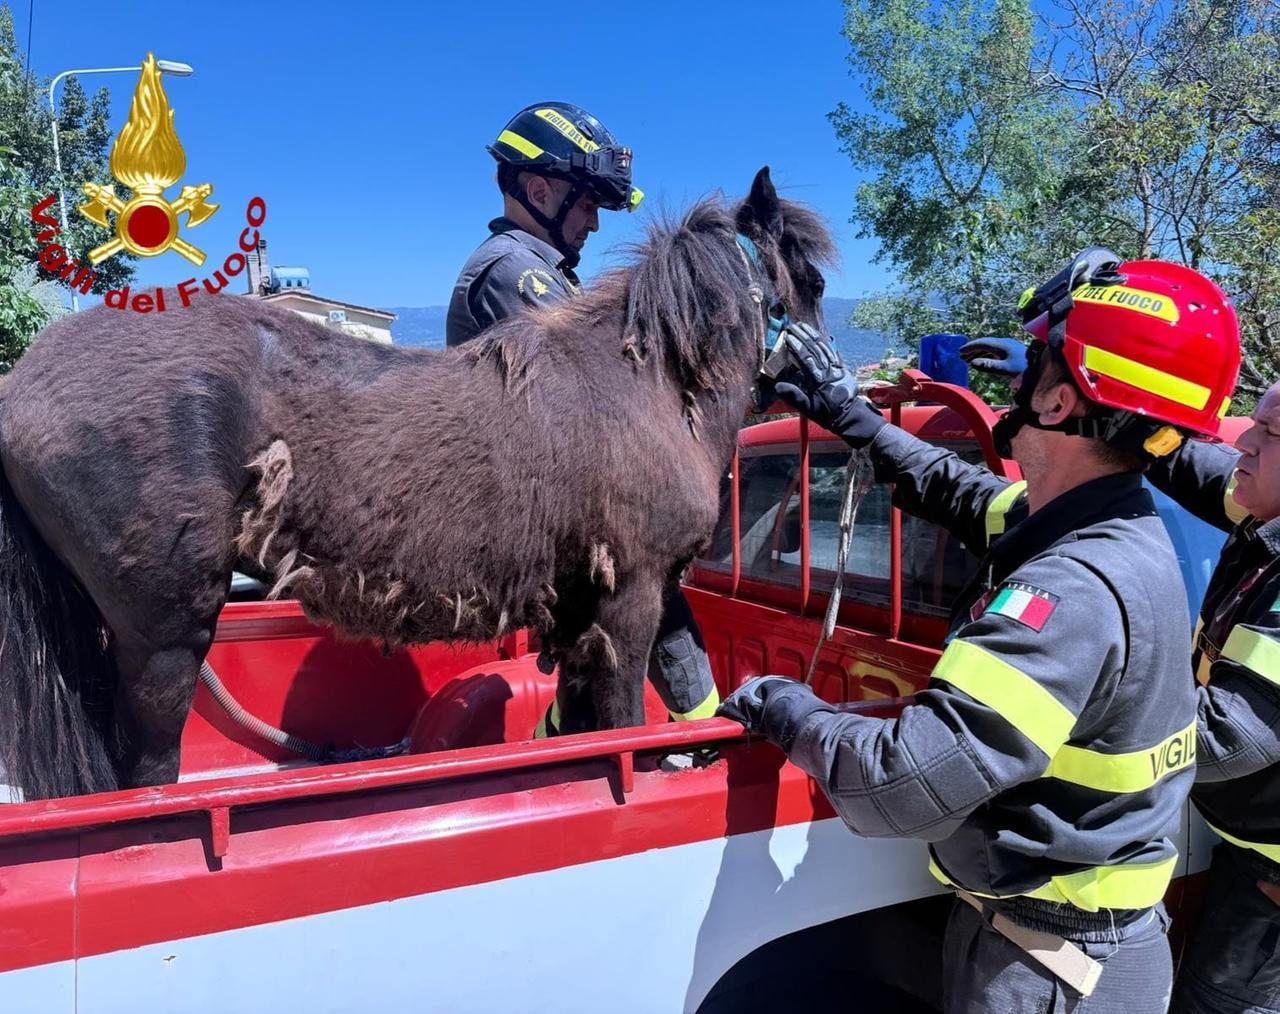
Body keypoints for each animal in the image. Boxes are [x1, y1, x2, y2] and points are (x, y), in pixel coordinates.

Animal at [0, 167, 833, 800]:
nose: (831, 383)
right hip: (165, 634)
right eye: (814, 278)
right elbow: (622, 722)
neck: (648, 379)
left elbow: (581, 719)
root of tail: (21, 383)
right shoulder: (629, 599)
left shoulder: (580, 607)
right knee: (143, 771)